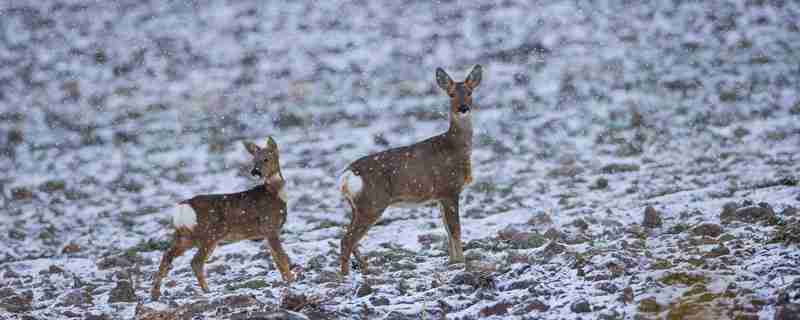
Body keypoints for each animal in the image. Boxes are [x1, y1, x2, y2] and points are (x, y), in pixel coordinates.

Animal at [151, 137, 294, 300]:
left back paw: (155, 294)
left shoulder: (267, 232)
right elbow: (281, 257)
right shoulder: (270, 226)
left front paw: (286, 280)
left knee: (167, 255)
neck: (276, 194)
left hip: (185, 236)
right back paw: (207, 290)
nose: (255, 172)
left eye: (266, 159)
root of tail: (183, 208)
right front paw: (291, 280)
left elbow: (276, 259)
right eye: (254, 160)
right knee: (195, 261)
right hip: (210, 234)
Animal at [338, 64, 482, 276]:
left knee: (348, 236)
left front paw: (452, 261)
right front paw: (461, 262)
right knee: (347, 239)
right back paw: (345, 275)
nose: (463, 108)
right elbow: (455, 229)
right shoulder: (449, 188)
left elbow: (447, 229)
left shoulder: (440, 196)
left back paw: (366, 268)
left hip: (357, 206)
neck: (454, 147)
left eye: (470, 92)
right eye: (451, 94)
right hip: (372, 203)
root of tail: (347, 176)